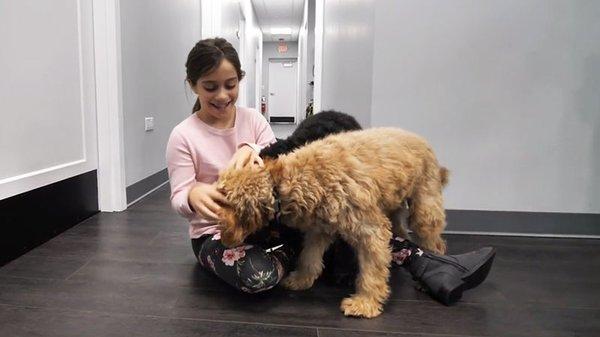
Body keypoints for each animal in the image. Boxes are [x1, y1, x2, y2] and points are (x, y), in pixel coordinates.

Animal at [218, 127, 448, 316]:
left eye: (222, 201)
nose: (223, 237)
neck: (286, 184)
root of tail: (421, 139)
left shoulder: (371, 231)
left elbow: (371, 272)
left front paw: (365, 304)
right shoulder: (320, 227)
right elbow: (309, 256)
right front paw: (301, 279)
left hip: (425, 205)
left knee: (434, 241)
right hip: (396, 205)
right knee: (402, 231)